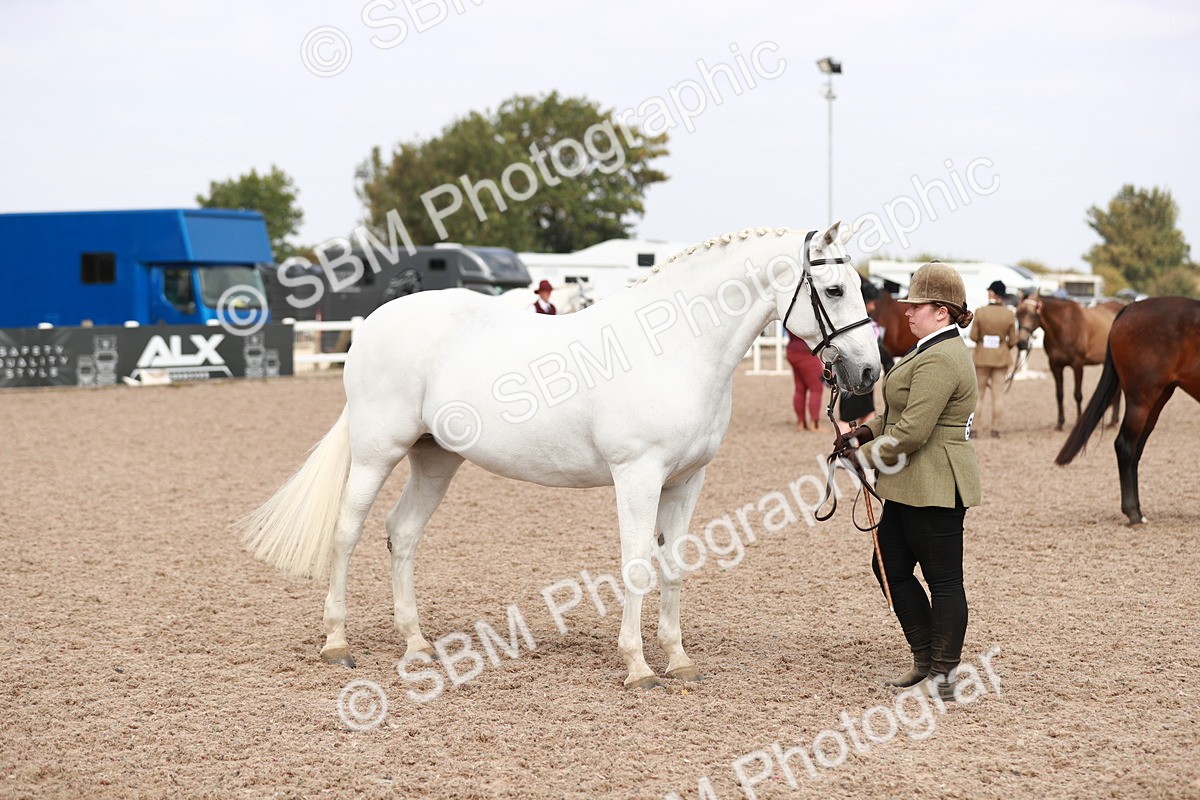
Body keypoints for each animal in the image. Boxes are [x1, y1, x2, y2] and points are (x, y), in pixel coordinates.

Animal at [239, 223, 882, 689]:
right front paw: (638, 668)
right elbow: (636, 564)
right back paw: (337, 642)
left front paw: (678, 660)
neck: (674, 348)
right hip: (378, 451)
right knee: (347, 532)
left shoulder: (687, 480)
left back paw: (417, 642)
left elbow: (675, 563)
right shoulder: (637, 475)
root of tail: (373, 322)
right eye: (833, 289)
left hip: (436, 459)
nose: (868, 373)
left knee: (402, 533)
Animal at [1015, 293, 1123, 430]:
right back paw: (1113, 421)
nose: (1021, 343)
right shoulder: (1055, 366)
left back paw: (1113, 422)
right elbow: (1059, 394)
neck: (1063, 326)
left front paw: (1078, 421)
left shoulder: (1077, 365)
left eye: (1032, 314)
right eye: (1017, 314)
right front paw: (1060, 423)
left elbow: (1078, 395)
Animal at [1056, 297, 1200, 525]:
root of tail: (1130, 308)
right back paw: (1133, 514)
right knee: (1125, 446)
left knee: (1135, 451)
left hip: (1156, 401)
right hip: (1141, 401)